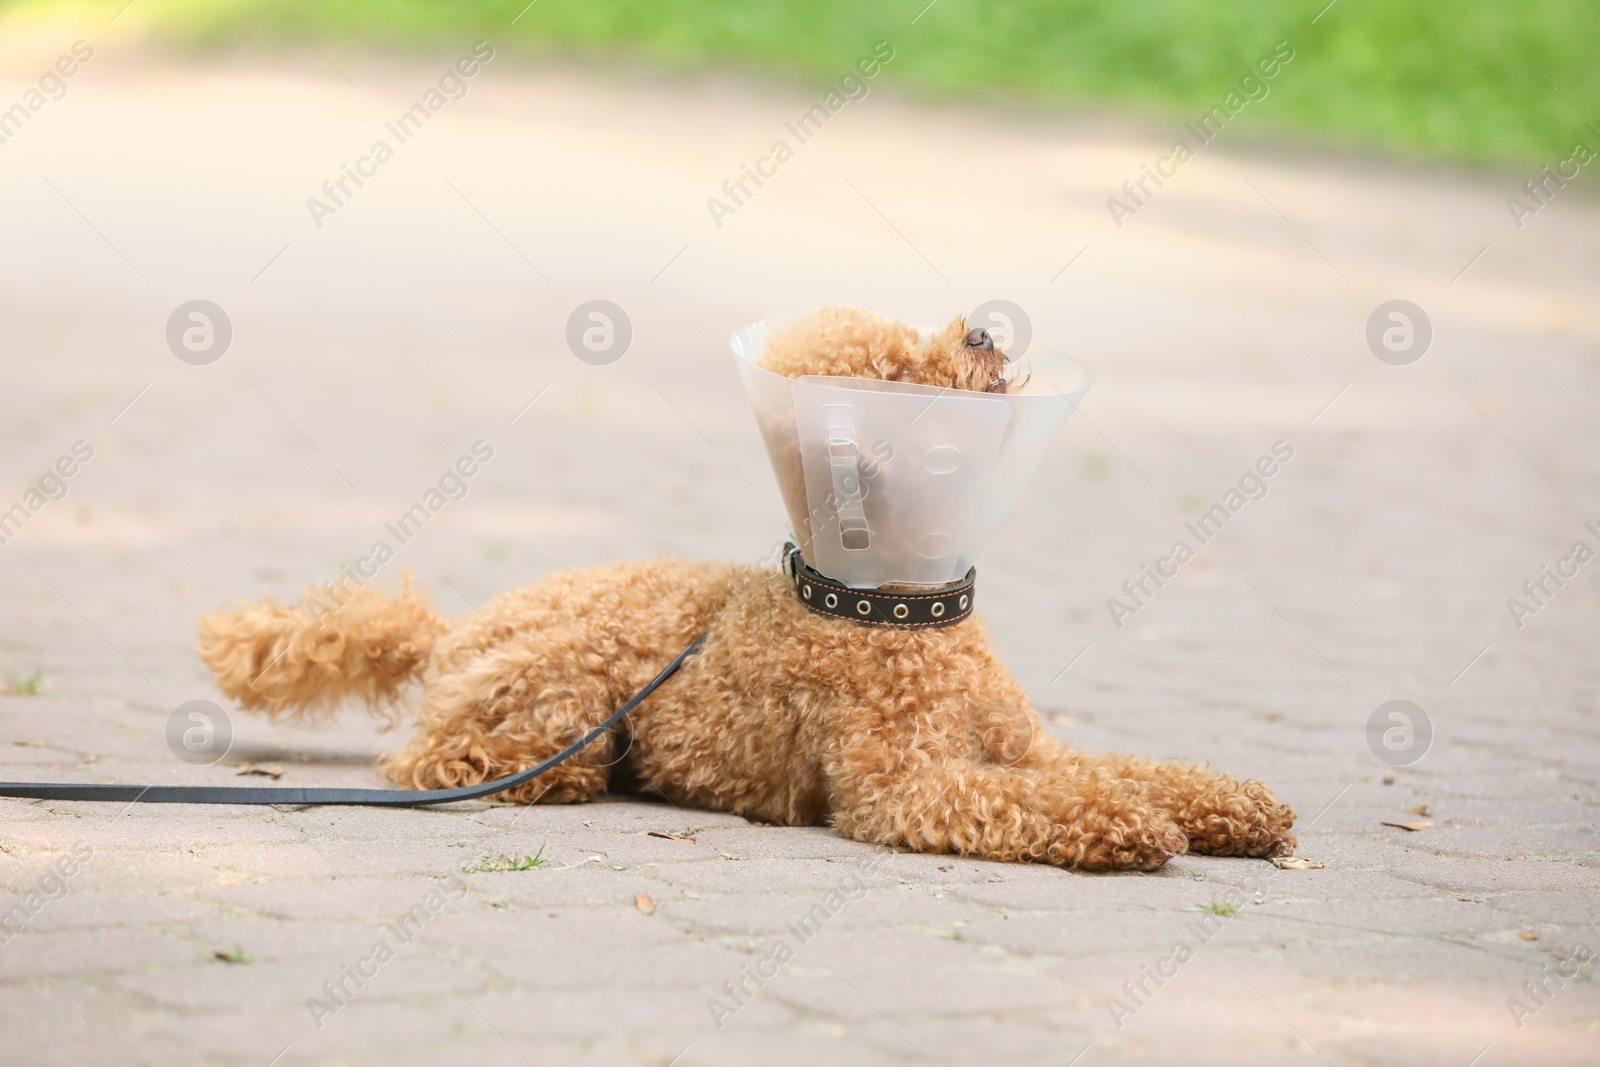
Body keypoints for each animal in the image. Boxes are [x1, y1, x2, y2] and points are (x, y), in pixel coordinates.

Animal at [203, 307, 1299, 870]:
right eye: (899, 371)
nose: (987, 327)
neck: (884, 602)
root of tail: (451, 628)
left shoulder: (1031, 748)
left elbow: (1129, 769)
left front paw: (1230, 806)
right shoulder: (903, 786)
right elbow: (1051, 801)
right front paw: (1131, 827)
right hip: (560, 693)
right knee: (439, 758)